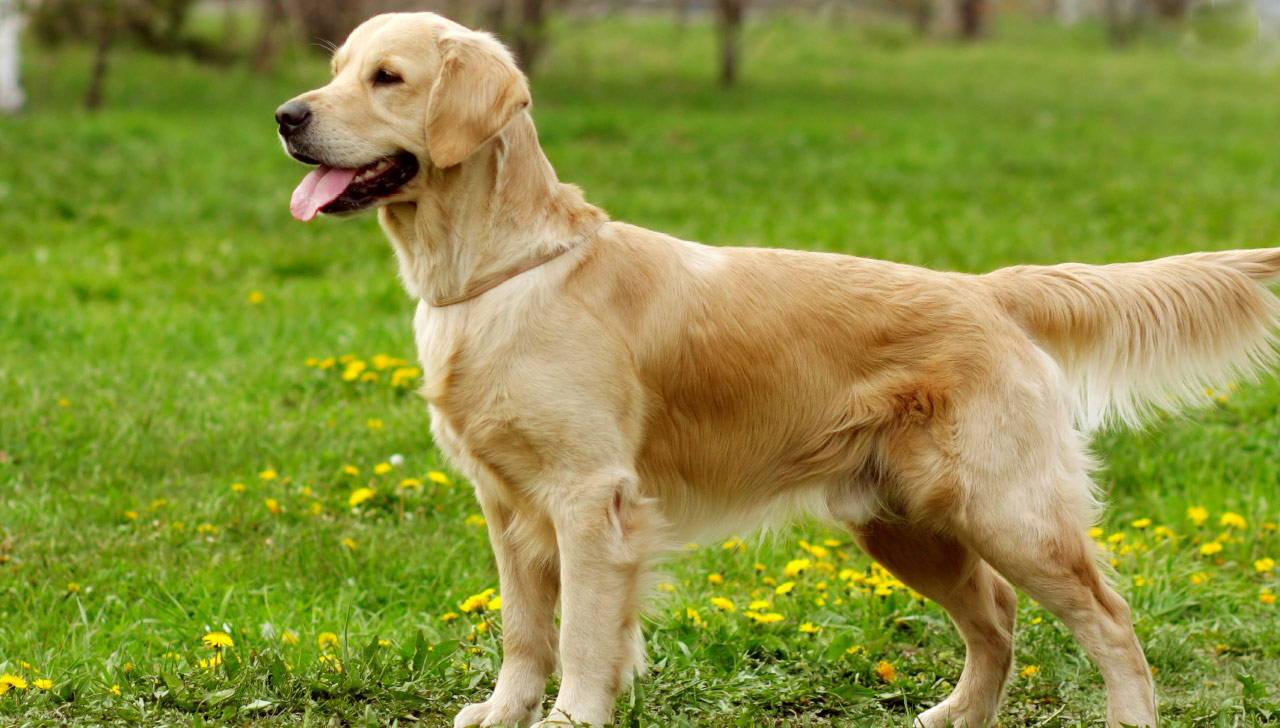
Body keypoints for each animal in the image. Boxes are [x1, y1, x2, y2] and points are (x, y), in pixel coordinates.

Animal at [277, 12, 1280, 726]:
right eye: (337, 68)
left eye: (387, 78)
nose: (287, 117)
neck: (498, 271)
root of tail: (988, 289)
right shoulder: (505, 500)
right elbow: (525, 629)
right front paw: (503, 712)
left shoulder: (591, 499)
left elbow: (582, 638)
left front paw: (570, 718)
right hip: (902, 523)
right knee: (995, 615)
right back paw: (957, 714)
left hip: (1009, 509)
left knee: (1109, 622)